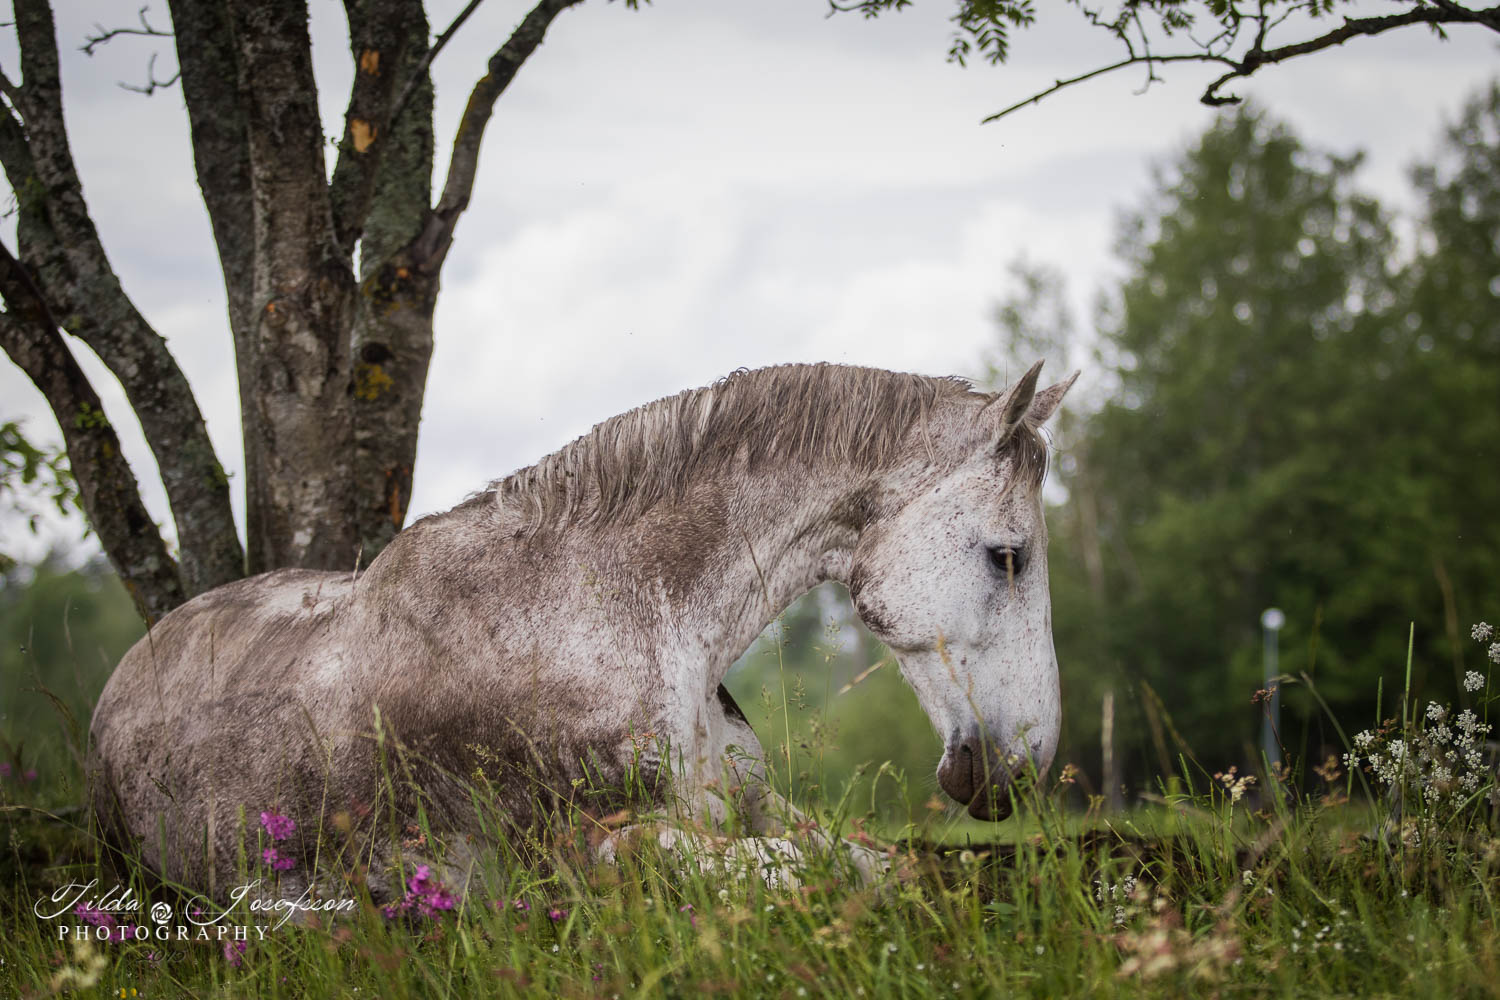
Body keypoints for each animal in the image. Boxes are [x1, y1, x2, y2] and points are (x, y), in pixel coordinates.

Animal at [87, 361, 1074, 899]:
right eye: (1008, 557)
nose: (1019, 768)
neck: (610, 608)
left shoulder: (755, 804)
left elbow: (876, 864)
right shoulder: (580, 849)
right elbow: (798, 870)